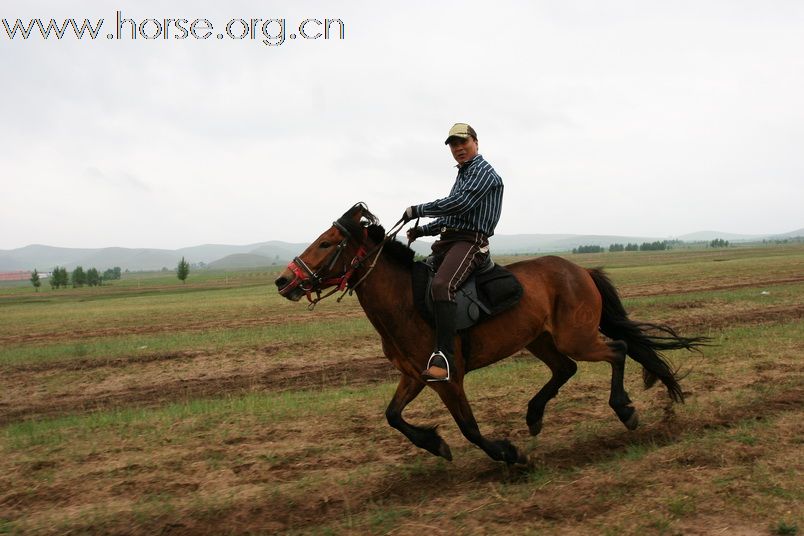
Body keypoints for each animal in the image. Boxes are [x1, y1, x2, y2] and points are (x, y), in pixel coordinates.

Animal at [274, 204, 704, 464]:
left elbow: (469, 427)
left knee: (618, 348)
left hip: (576, 337)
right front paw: (435, 444)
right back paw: (534, 416)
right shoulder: (415, 376)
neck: (404, 301)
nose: (282, 281)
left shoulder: (448, 379)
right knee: (567, 368)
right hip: (540, 339)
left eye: (326, 243)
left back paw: (624, 410)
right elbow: (392, 415)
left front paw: (508, 453)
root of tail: (581, 270)